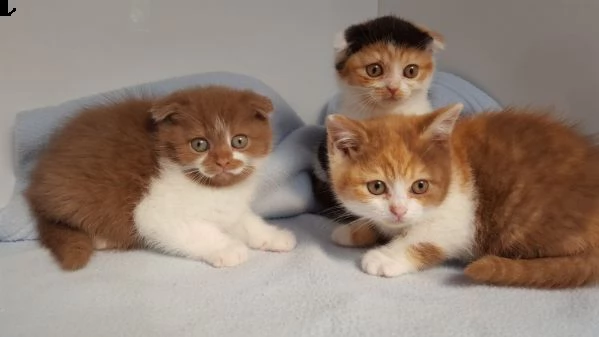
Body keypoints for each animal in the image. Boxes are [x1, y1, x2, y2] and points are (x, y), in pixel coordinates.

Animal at [26, 85, 298, 270]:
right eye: (199, 144)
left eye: (239, 141)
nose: (223, 161)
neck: (213, 188)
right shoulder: (153, 210)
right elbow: (198, 230)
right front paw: (228, 248)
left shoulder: (229, 207)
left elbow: (245, 221)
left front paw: (273, 236)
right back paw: (101, 239)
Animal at [330, 103, 599, 288]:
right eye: (376, 187)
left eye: (420, 186)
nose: (399, 210)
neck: (453, 164)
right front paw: (352, 230)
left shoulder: (462, 218)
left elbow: (424, 237)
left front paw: (385, 256)